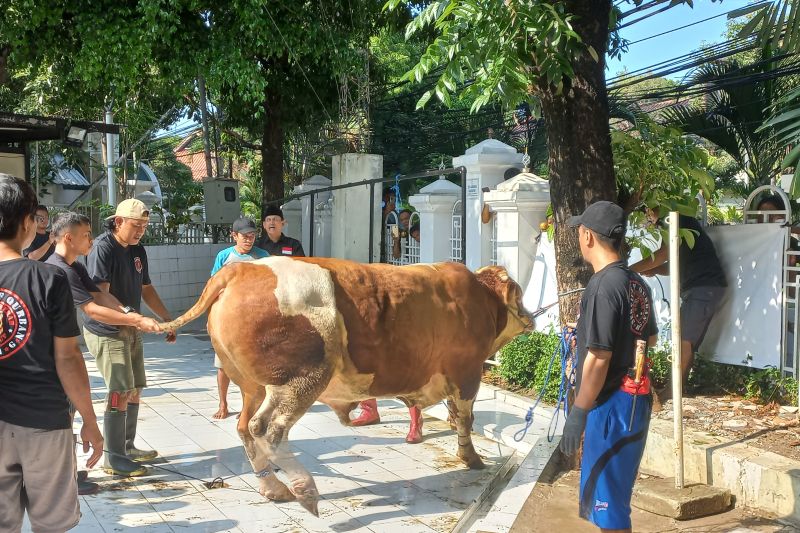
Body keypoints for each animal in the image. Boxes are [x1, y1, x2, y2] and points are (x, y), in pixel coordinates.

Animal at [161, 256, 532, 512]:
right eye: (519, 293)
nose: (531, 316)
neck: (479, 298)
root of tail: (240, 270)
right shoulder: (468, 373)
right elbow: (466, 418)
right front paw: (471, 458)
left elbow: (455, 413)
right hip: (300, 380)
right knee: (267, 428)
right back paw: (304, 491)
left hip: (254, 386)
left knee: (244, 426)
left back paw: (274, 489)